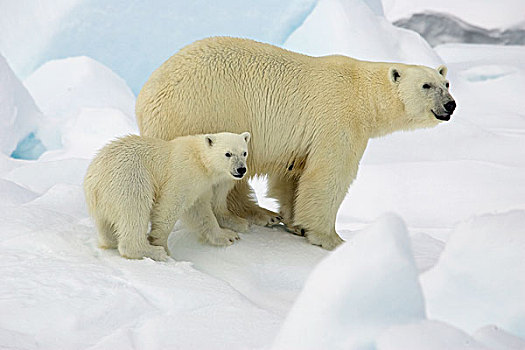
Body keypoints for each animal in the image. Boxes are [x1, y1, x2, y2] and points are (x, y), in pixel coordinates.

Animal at [83, 131, 250, 260]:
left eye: (244, 152)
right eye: (228, 154)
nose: (241, 169)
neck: (199, 158)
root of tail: (94, 179)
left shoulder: (200, 187)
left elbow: (199, 211)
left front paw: (227, 235)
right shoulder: (184, 173)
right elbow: (170, 204)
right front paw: (160, 244)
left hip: (103, 199)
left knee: (106, 224)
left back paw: (110, 240)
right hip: (129, 178)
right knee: (135, 210)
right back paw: (152, 251)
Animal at [135, 37, 454, 250]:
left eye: (446, 83)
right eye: (426, 86)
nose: (450, 105)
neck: (361, 92)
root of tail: (146, 101)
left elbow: (292, 175)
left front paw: (294, 221)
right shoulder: (338, 119)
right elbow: (328, 175)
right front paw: (330, 238)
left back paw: (262, 214)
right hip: (205, 112)